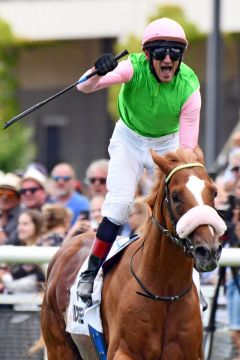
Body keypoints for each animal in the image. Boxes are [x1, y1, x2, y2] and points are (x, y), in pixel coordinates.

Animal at [39, 146, 225, 360]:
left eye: (214, 192)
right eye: (176, 196)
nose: (208, 251)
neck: (165, 291)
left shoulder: (191, 353)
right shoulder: (122, 351)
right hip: (59, 347)